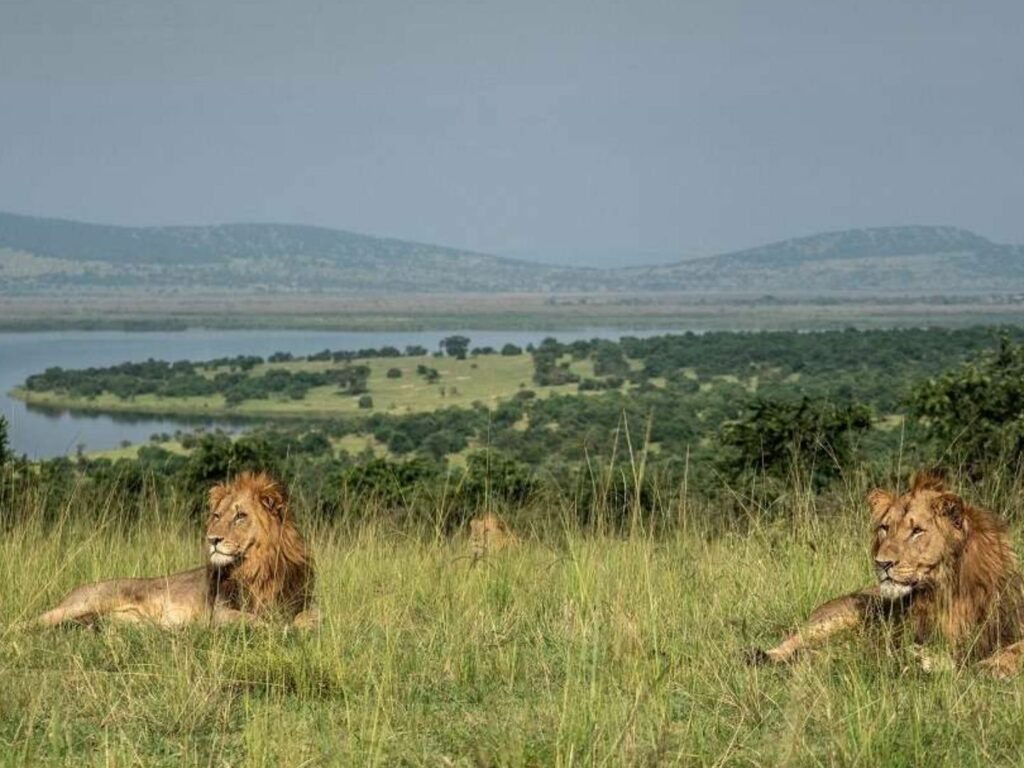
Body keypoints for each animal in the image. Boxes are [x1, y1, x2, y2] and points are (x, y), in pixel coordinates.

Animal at [34, 471, 317, 629]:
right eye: (217, 516)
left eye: (240, 516)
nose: (212, 539)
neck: (257, 568)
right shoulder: (218, 613)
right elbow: (253, 620)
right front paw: (278, 628)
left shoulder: (301, 600)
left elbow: (312, 617)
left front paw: (301, 626)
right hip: (87, 601)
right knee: (38, 618)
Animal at [748, 471, 1024, 677]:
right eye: (884, 527)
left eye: (917, 531)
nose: (882, 563)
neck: (946, 591)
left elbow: (1016, 648)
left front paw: (993, 665)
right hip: (838, 617)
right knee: (792, 644)